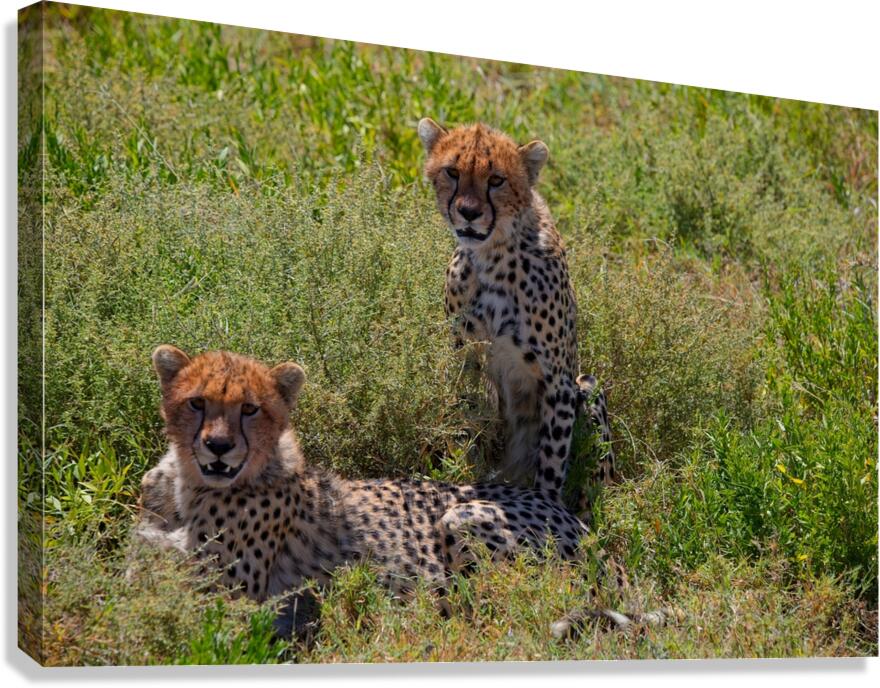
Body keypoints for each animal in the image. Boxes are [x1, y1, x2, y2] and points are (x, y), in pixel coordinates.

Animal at [136, 345, 674, 640]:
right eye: (197, 403)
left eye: (250, 409)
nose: (219, 447)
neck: (188, 486)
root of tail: (568, 511)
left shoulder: (234, 601)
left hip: (464, 517)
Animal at [417, 118, 616, 508]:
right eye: (452, 172)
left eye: (496, 180)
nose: (468, 212)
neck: (493, 257)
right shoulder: (465, 357)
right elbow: (464, 427)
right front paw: (462, 478)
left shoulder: (558, 380)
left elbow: (552, 461)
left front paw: (546, 509)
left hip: (587, 387)